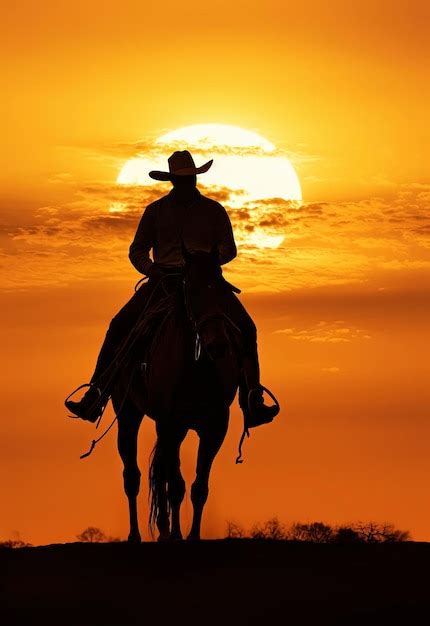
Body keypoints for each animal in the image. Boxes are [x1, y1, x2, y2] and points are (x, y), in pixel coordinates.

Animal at [109, 246, 242, 540]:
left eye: (223, 290)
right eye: (191, 290)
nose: (218, 344)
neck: (195, 368)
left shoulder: (215, 428)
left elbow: (199, 486)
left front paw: (192, 536)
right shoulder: (171, 424)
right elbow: (176, 485)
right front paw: (177, 536)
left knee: (161, 475)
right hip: (129, 415)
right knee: (133, 475)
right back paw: (137, 535)